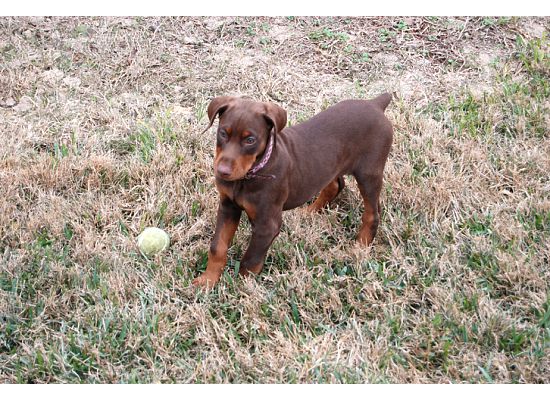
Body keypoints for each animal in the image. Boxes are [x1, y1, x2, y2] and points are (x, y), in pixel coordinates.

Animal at [192, 94, 394, 288]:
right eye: (222, 133)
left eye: (250, 140)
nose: (222, 172)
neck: (249, 176)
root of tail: (375, 103)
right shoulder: (228, 206)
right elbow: (217, 246)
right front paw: (207, 280)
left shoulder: (267, 225)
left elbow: (250, 260)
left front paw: (242, 287)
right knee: (335, 184)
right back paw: (309, 211)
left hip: (369, 173)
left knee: (372, 213)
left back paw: (361, 246)